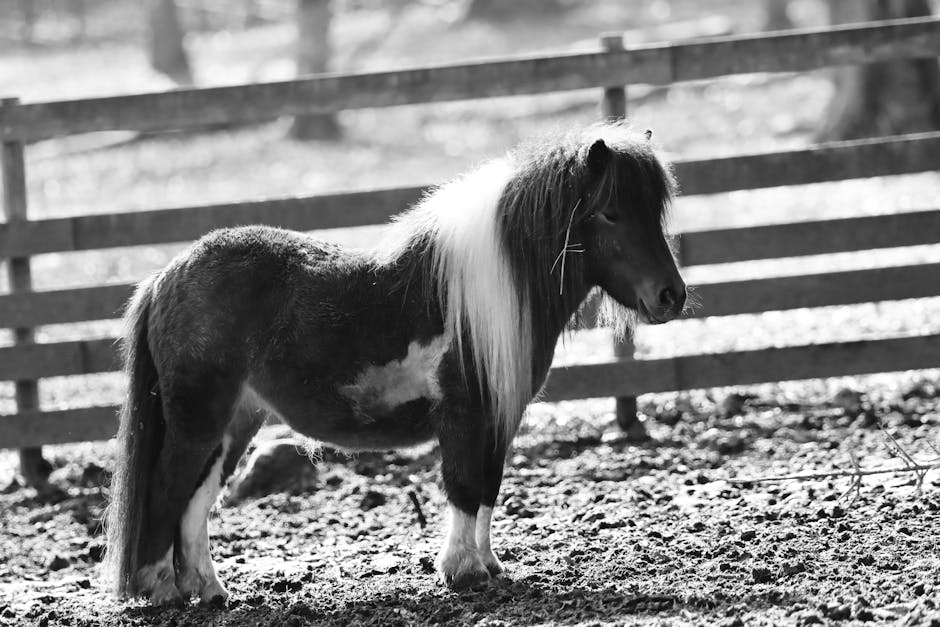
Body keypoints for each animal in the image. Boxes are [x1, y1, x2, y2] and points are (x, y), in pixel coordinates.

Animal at [106, 120, 688, 604]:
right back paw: (162, 591)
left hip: (233, 423)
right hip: (197, 421)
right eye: (610, 212)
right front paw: (462, 571)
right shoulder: (464, 415)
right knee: (167, 492)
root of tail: (165, 276)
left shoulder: (497, 419)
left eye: (655, 213)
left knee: (195, 502)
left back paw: (208, 591)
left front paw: (489, 566)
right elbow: (464, 487)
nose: (671, 296)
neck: (484, 292)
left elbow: (488, 489)